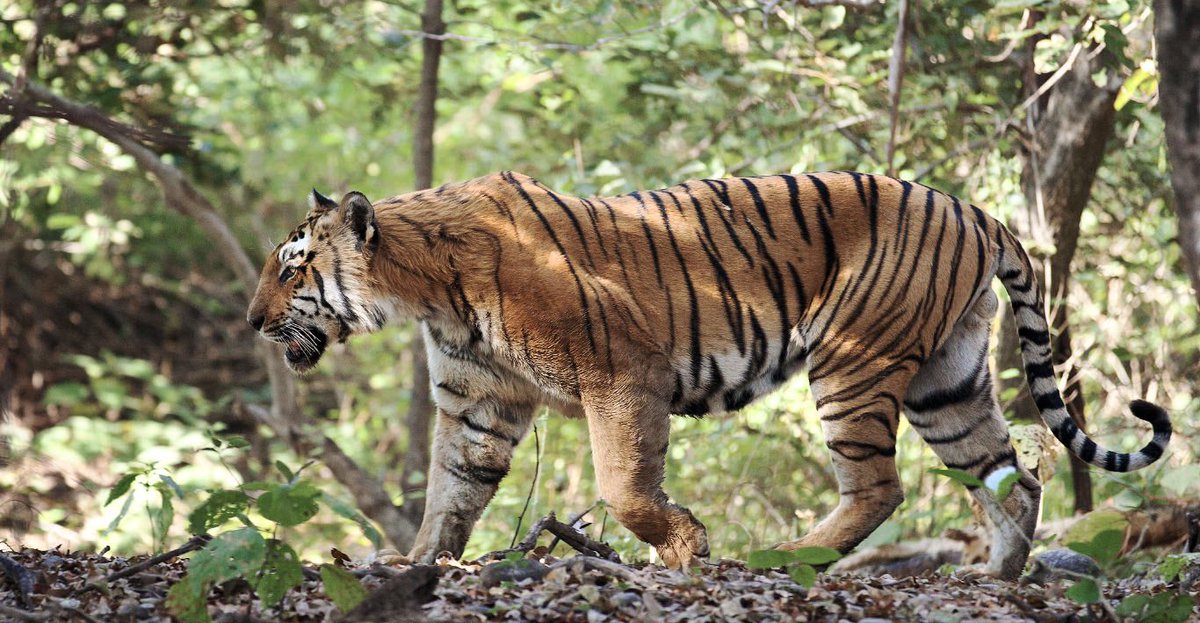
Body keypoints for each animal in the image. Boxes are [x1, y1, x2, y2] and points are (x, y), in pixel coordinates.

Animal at [246, 171, 1172, 580]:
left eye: (292, 269)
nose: (253, 322)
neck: (425, 291)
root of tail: (977, 210)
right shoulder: (479, 402)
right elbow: (450, 493)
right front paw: (416, 563)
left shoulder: (621, 369)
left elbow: (624, 485)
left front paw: (687, 546)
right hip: (945, 381)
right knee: (1014, 474)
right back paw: (993, 576)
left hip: (852, 359)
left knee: (882, 487)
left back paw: (780, 555)